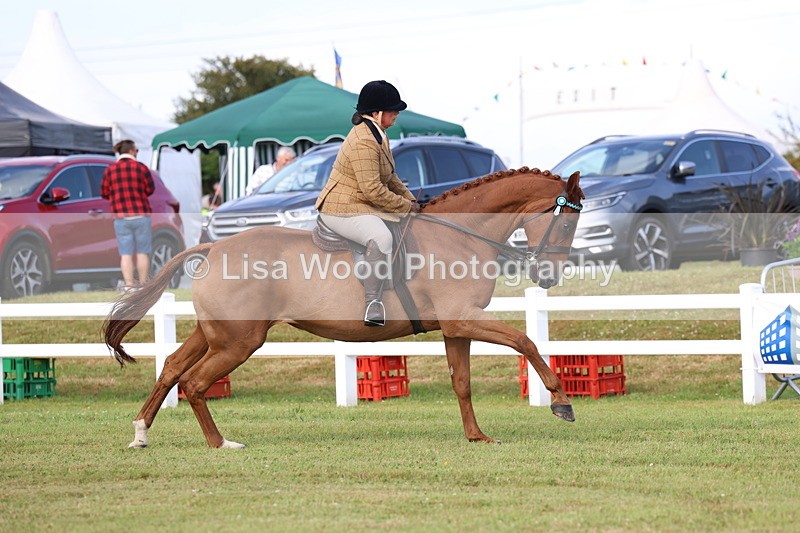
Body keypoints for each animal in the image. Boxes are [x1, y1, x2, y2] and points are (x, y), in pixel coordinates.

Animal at [104, 167, 584, 448]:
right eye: (565, 223)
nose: (548, 276)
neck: (459, 235)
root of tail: (213, 248)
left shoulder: (455, 327)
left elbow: (462, 383)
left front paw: (476, 435)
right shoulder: (464, 318)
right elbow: (525, 341)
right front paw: (561, 402)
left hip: (216, 335)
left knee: (172, 367)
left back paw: (141, 432)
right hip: (239, 342)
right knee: (195, 381)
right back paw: (221, 443)